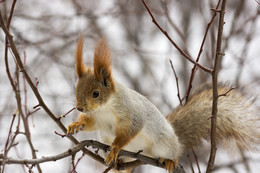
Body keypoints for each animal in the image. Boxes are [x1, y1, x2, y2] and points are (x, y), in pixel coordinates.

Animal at [67, 36, 260, 172]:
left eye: (96, 93)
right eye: (76, 89)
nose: (79, 107)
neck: (105, 108)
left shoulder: (132, 112)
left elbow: (130, 130)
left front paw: (115, 147)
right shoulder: (97, 118)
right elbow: (90, 123)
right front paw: (76, 124)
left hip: (164, 145)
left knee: (173, 154)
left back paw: (169, 161)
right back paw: (118, 164)